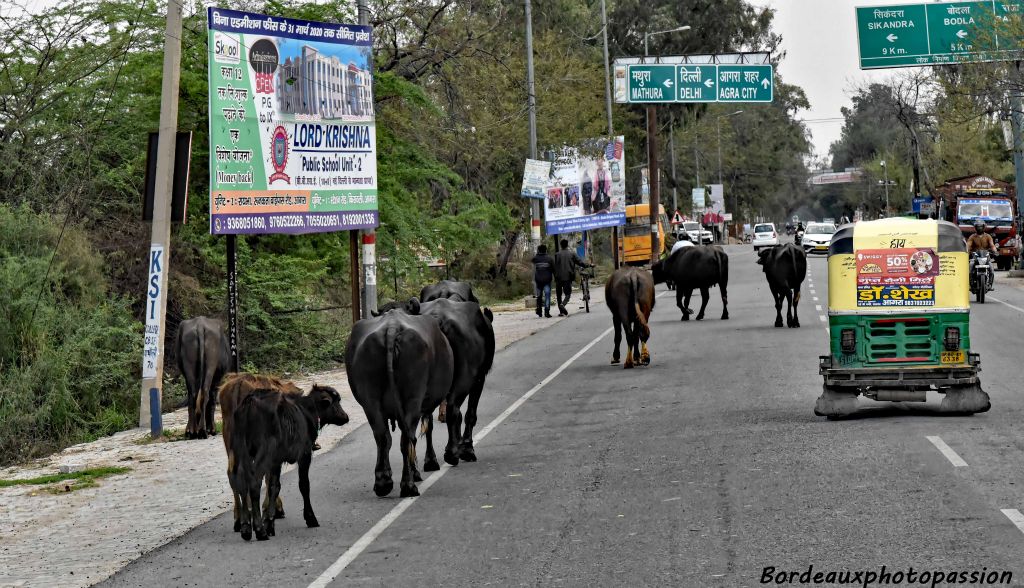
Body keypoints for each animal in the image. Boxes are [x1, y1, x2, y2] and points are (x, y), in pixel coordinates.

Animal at [218, 374, 301, 536]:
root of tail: (239, 383)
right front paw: (273, 510)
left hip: (231, 443)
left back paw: (239, 519)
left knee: (233, 474)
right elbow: (270, 481)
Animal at [229, 385, 348, 540]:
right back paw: (259, 530)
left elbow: (274, 487)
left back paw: (246, 528)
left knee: (240, 482)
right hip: (263, 454)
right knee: (254, 483)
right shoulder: (304, 455)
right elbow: (304, 485)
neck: (306, 412)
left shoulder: (276, 462)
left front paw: (270, 523)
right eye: (336, 401)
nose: (345, 417)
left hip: (241, 451)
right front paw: (310, 518)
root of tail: (250, 401)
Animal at [346, 307, 454, 499]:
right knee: (406, 439)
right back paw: (408, 485)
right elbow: (426, 430)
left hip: (370, 401)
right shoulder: (424, 406)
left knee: (382, 437)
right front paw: (427, 464)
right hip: (412, 399)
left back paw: (383, 482)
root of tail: (392, 328)